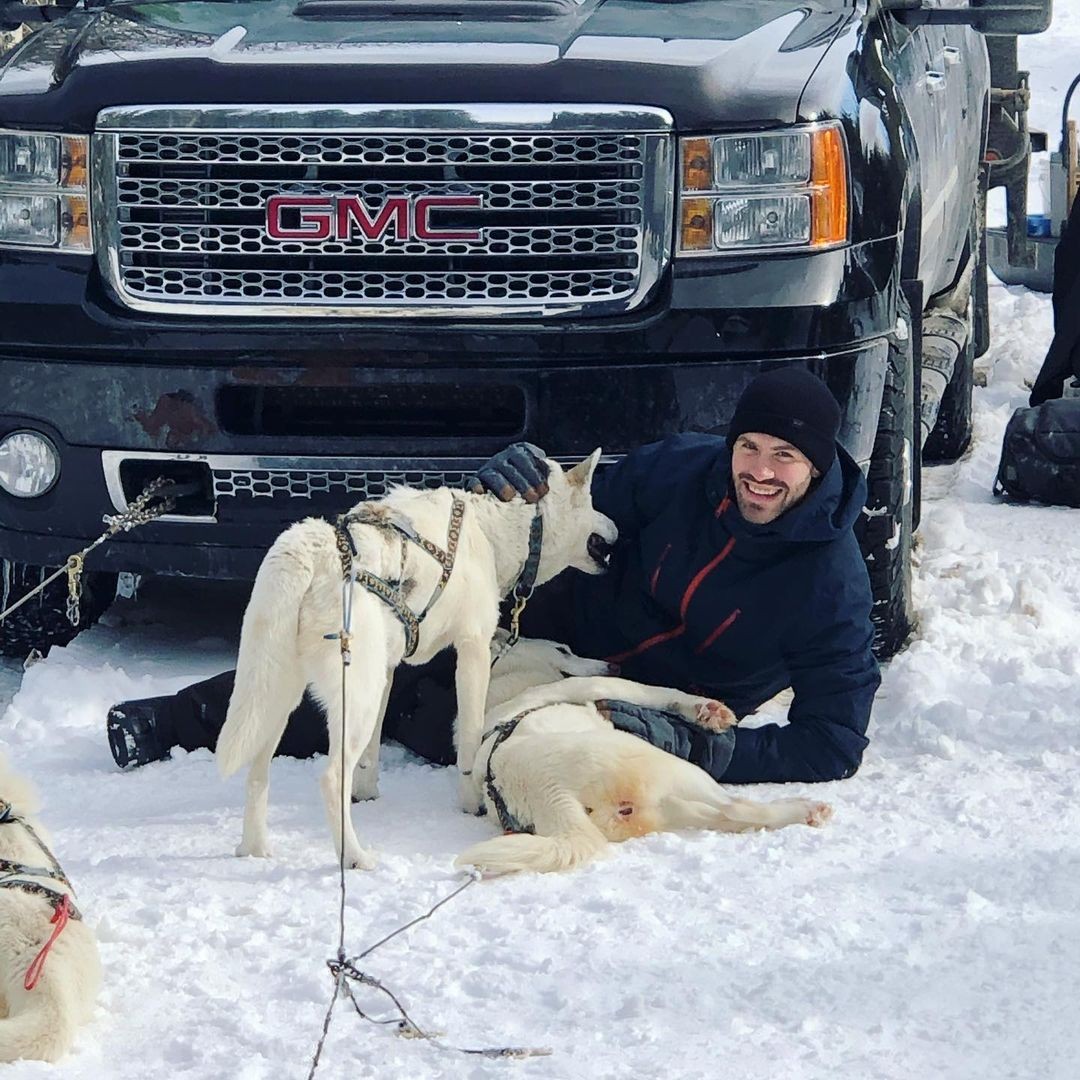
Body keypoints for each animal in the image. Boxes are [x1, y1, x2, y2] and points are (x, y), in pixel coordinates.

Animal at [213, 449, 617, 868]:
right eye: (592, 502)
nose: (616, 528)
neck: (494, 528)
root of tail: (309, 546)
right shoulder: (472, 649)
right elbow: (469, 743)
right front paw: (471, 802)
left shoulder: (389, 668)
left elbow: (370, 756)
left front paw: (367, 795)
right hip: (353, 695)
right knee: (330, 778)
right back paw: (354, 856)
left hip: (280, 695)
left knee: (257, 772)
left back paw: (255, 849)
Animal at [455, 635, 833, 872]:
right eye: (563, 647)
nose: (613, 665)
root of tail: (550, 796)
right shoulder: (599, 687)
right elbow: (659, 692)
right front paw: (708, 711)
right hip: (672, 769)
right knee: (737, 808)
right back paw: (807, 809)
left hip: (666, 803)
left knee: (726, 816)